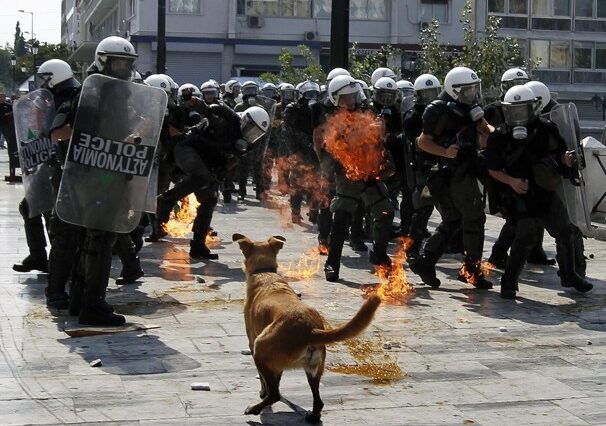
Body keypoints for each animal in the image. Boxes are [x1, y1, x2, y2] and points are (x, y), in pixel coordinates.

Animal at [234, 233, 382, 422]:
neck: (264, 272)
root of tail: (310, 329)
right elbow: (277, 378)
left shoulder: (252, 342)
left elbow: (265, 381)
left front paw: (262, 393)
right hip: (314, 369)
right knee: (318, 401)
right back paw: (312, 416)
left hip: (260, 347)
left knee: (274, 394)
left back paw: (254, 408)